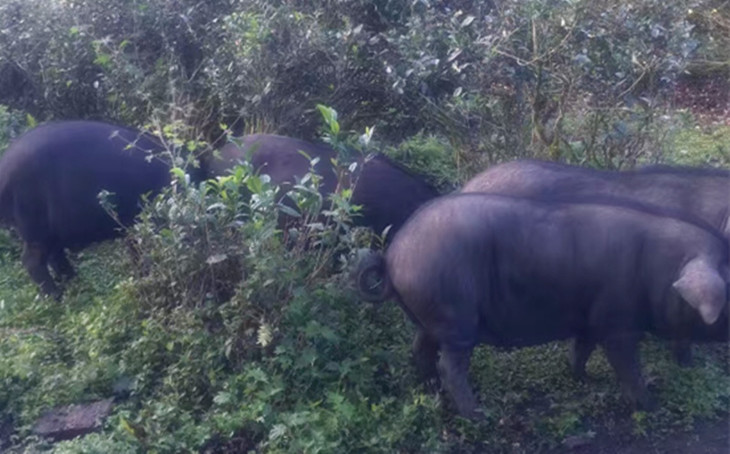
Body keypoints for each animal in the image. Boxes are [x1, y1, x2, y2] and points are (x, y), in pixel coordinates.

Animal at [0, 120, 171, 300]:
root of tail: (4, 167)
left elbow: (135, 251)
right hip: (34, 225)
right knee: (31, 260)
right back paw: (58, 297)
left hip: (50, 231)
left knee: (54, 255)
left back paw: (74, 281)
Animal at [356, 192, 728, 418]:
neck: (661, 270)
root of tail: (394, 254)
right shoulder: (618, 323)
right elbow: (627, 367)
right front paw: (652, 406)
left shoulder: (590, 318)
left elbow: (580, 349)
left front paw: (584, 380)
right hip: (455, 315)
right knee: (450, 366)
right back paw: (478, 416)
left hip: (430, 318)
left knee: (420, 349)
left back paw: (430, 389)